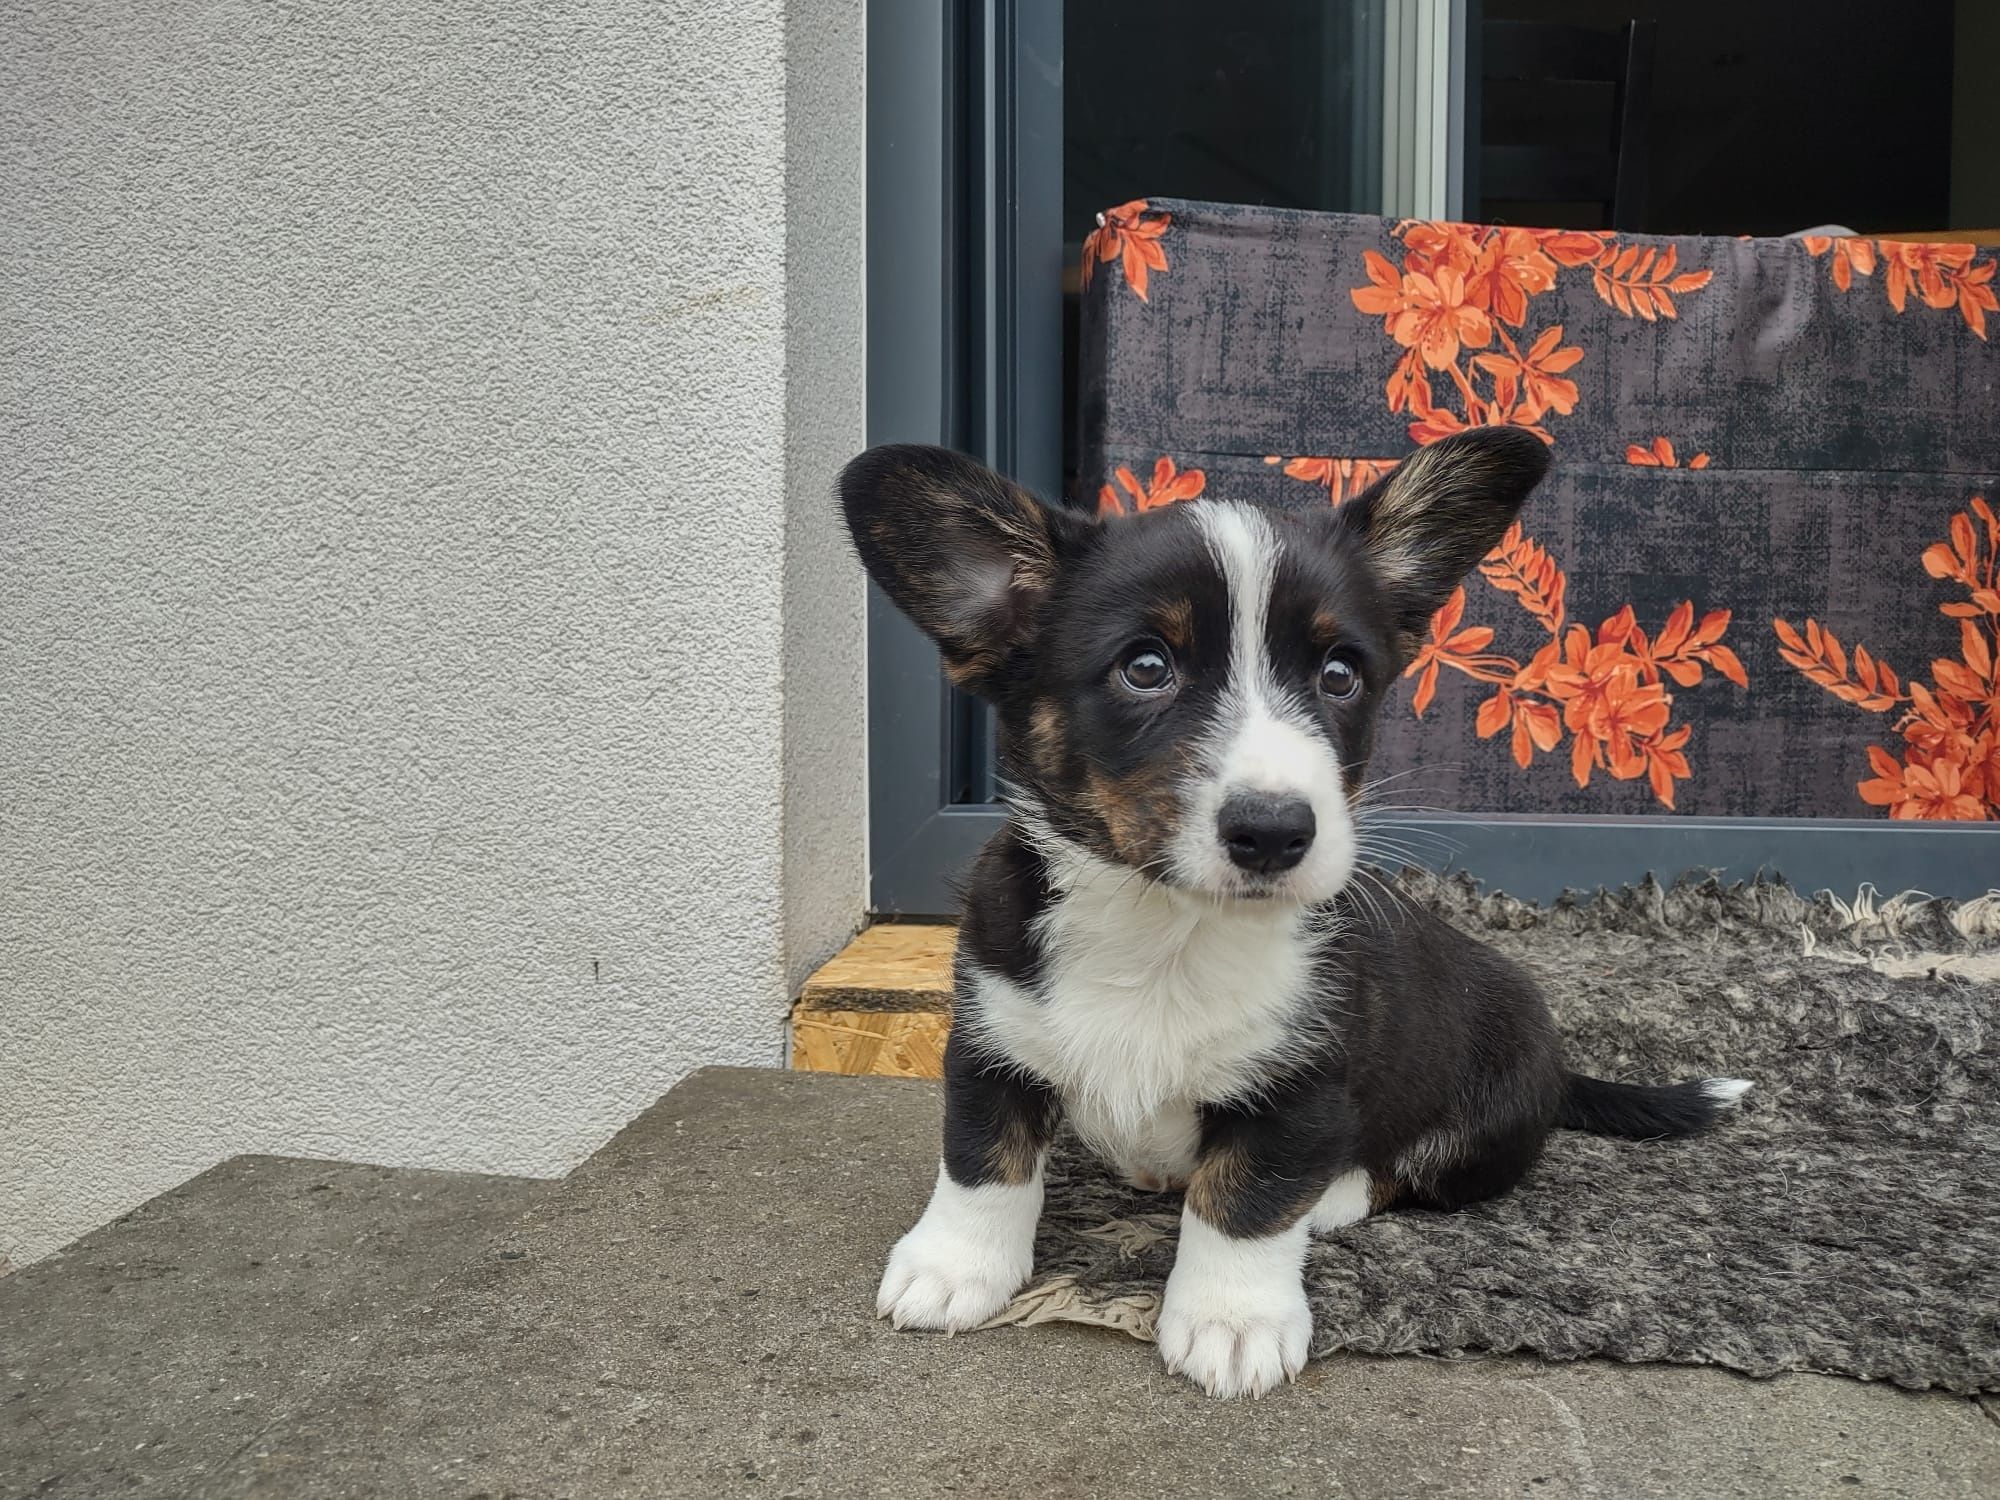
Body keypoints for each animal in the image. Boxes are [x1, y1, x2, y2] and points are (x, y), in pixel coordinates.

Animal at [836, 428, 1744, 1408]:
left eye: (1340, 675)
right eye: (1144, 667)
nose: (1274, 832)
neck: (1165, 928)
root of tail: (1561, 1070)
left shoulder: (1300, 1089)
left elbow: (1245, 1202)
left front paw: (1232, 1324)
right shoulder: (992, 1039)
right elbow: (982, 1164)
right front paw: (953, 1271)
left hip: (1484, 1118)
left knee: (1407, 1173)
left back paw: (1333, 1197)